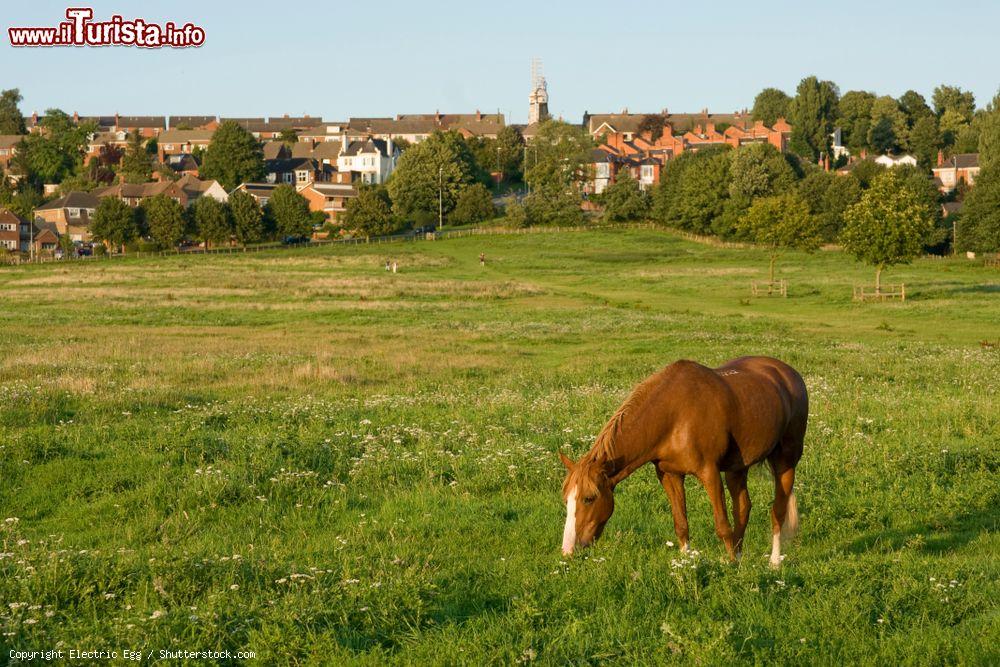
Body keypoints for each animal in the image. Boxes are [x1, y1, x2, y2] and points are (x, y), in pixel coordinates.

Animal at [560, 358, 808, 568]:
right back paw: (739, 556)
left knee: (778, 510)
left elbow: (722, 525)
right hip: (737, 468)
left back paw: (774, 562)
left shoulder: (709, 472)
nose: (567, 550)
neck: (674, 415)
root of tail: (788, 373)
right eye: (567, 500)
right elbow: (681, 523)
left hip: (786, 461)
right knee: (743, 508)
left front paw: (730, 568)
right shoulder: (669, 474)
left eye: (589, 498)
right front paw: (686, 562)